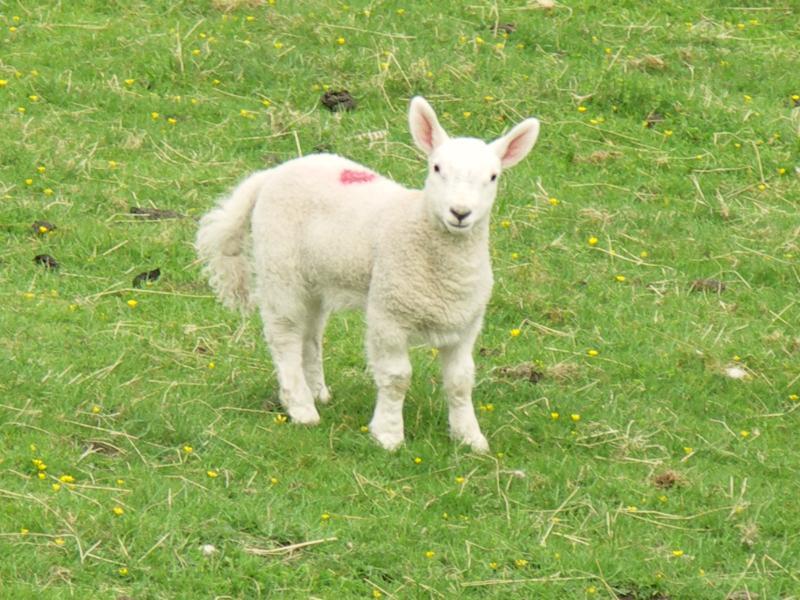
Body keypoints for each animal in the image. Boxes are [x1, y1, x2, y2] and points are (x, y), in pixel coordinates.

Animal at [196, 96, 540, 452]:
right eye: (436, 168)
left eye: (493, 177)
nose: (460, 213)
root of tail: (272, 174)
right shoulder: (389, 314)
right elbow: (396, 377)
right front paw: (388, 435)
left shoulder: (465, 324)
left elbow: (460, 381)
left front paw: (470, 438)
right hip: (280, 266)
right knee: (285, 334)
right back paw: (301, 407)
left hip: (315, 277)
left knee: (310, 334)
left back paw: (318, 392)